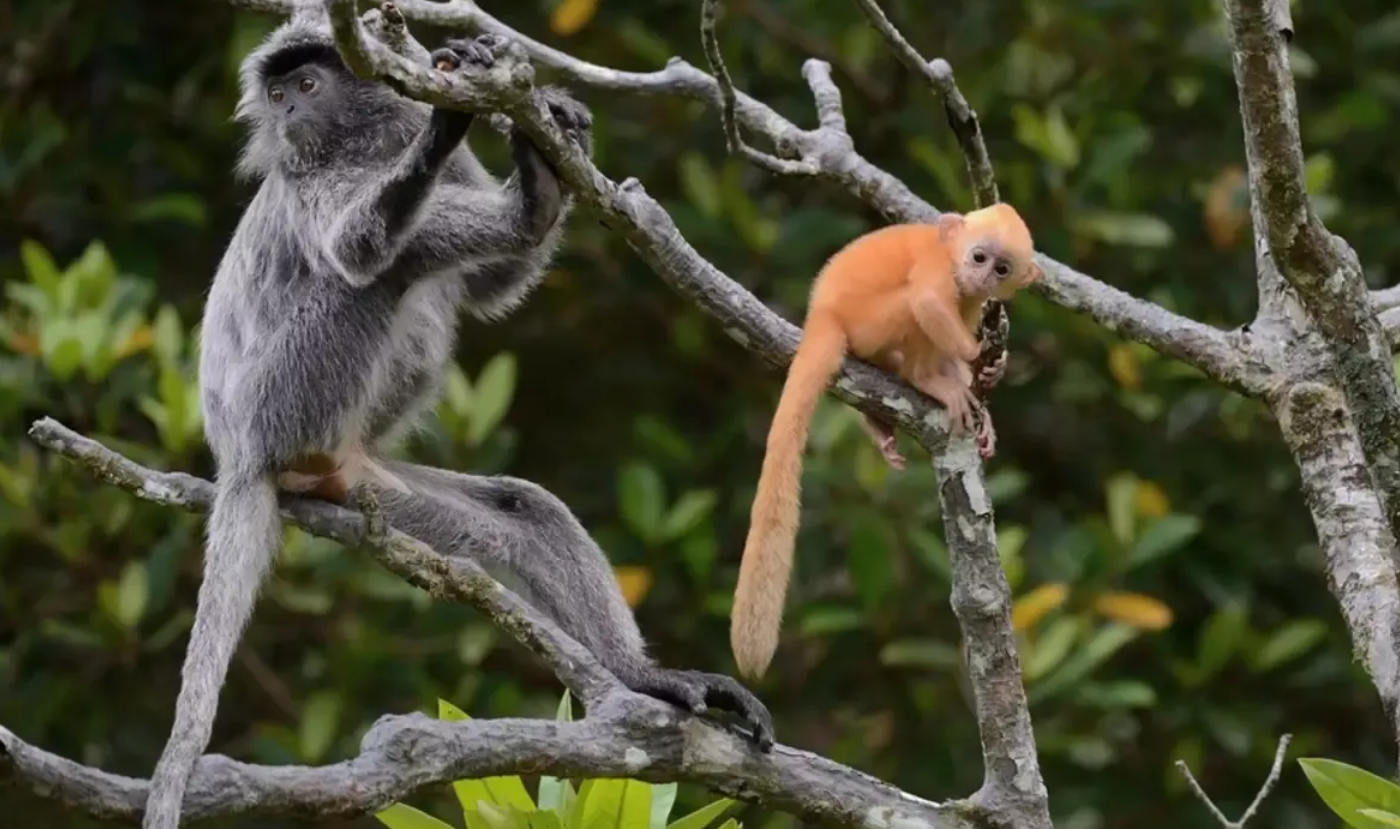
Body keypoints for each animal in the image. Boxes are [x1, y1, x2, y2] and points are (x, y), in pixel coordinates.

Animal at [733, 203, 1041, 680]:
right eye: (978, 257)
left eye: (1002, 268)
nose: (981, 276)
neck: (948, 254)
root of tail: (822, 313)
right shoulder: (938, 268)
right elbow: (928, 301)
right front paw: (976, 361)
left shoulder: (976, 301)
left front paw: (990, 379)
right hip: (870, 321)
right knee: (914, 309)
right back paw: (924, 381)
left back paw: (883, 419)